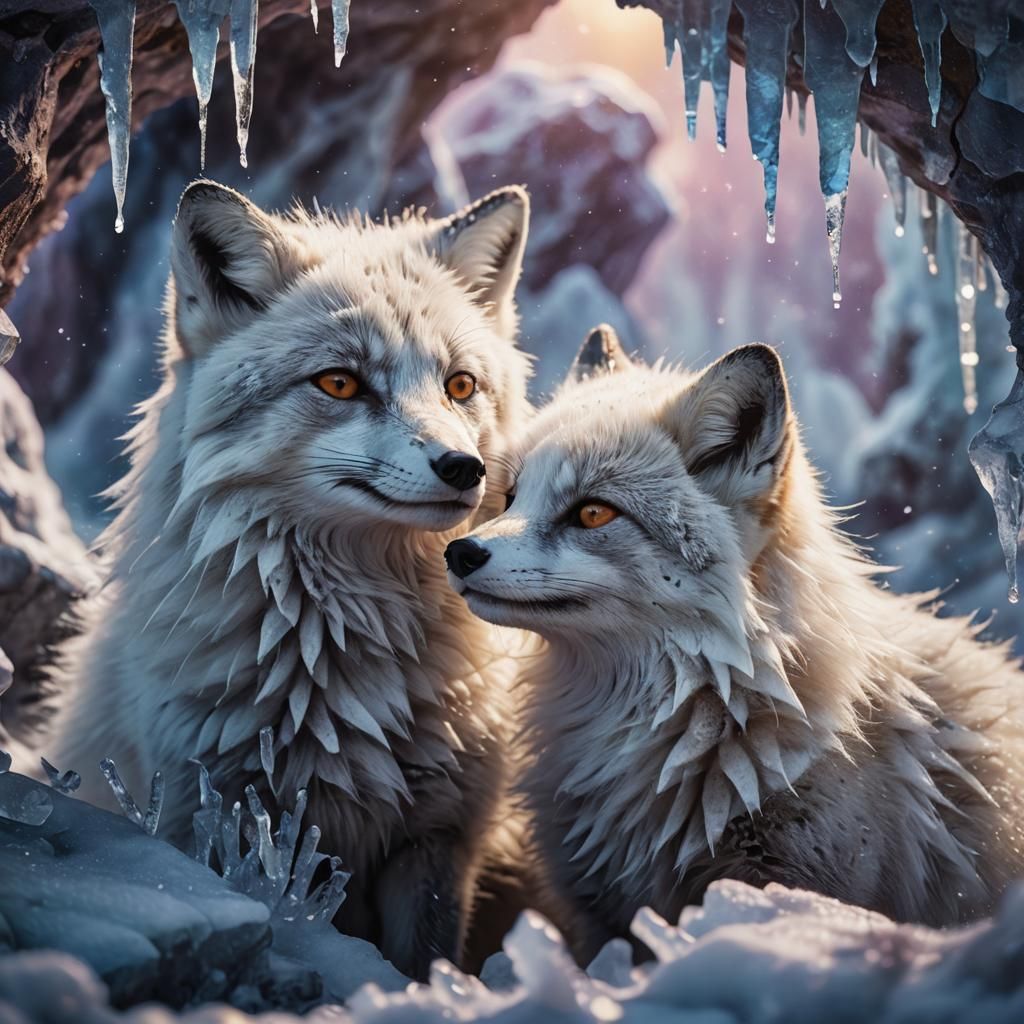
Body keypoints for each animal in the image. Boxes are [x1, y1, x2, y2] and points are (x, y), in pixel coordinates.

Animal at [50, 180, 534, 978]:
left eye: (461, 385)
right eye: (340, 382)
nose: (465, 468)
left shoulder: (438, 838)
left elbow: (425, 962)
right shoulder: (213, 813)